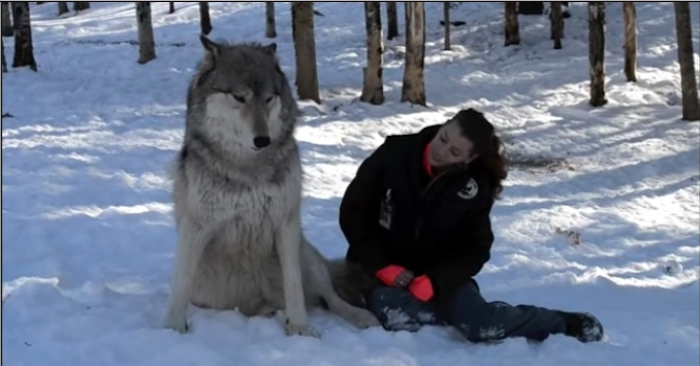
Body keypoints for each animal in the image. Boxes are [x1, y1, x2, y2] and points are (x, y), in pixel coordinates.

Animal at [161, 35, 380, 338]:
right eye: (239, 97)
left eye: (268, 98)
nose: (262, 139)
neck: (247, 169)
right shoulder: (196, 226)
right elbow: (180, 283)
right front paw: (172, 329)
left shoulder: (285, 223)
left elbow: (294, 283)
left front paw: (300, 329)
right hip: (208, 290)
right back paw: (272, 313)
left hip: (306, 253)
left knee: (330, 297)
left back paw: (359, 316)